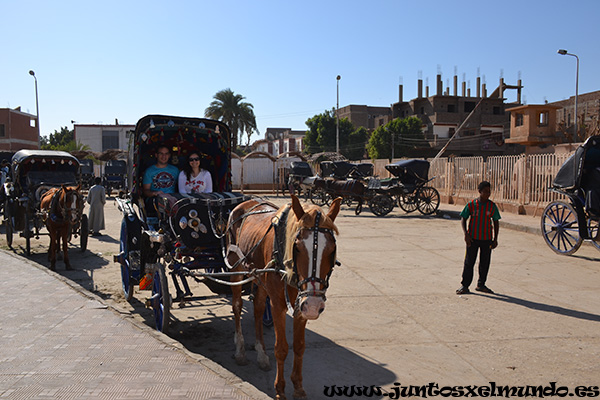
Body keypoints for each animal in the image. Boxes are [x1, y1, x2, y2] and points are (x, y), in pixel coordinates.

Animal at [225, 195, 340, 400]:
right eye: (298, 247)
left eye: (331, 249)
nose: (314, 306)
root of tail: (245, 203)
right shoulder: (279, 305)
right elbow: (281, 348)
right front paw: (280, 389)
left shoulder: (302, 305)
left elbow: (299, 346)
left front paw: (298, 387)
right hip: (235, 268)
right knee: (237, 306)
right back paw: (240, 350)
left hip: (260, 278)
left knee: (258, 309)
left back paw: (261, 353)